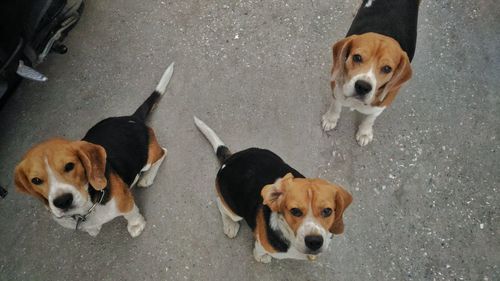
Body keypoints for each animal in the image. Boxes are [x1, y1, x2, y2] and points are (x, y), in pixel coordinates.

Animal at [14, 63, 174, 236]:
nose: (62, 201)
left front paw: (136, 225)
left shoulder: (125, 202)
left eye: (69, 166)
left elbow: (130, 213)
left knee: (162, 153)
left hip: (148, 158)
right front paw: (93, 229)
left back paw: (147, 177)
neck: (86, 208)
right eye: (36, 180)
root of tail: (132, 118)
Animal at [193, 116, 354, 262]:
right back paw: (230, 225)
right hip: (233, 209)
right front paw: (263, 258)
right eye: (295, 211)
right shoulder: (261, 245)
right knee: (221, 205)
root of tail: (230, 159)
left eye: (327, 211)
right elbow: (260, 253)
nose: (314, 242)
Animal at [320, 0, 418, 144]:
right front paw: (331, 119)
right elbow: (336, 105)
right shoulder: (336, 86)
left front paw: (365, 132)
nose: (362, 86)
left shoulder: (383, 104)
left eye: (387, 68)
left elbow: (370, 118)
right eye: (357, 57)